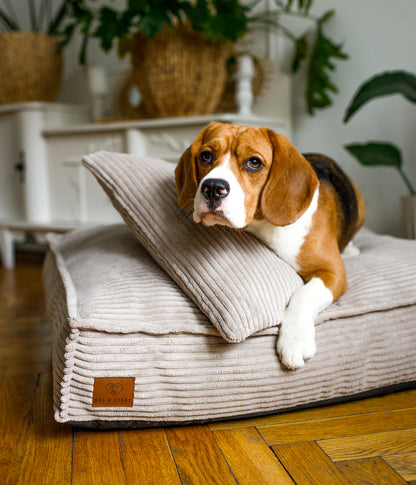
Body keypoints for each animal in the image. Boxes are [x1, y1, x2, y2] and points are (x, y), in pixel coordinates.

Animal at [176, 121, 364, 366]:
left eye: (254, 162)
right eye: (206, 156)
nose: (213, 188)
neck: (262, 224)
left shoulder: (332, 272)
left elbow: (302, 296)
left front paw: (295, 341)